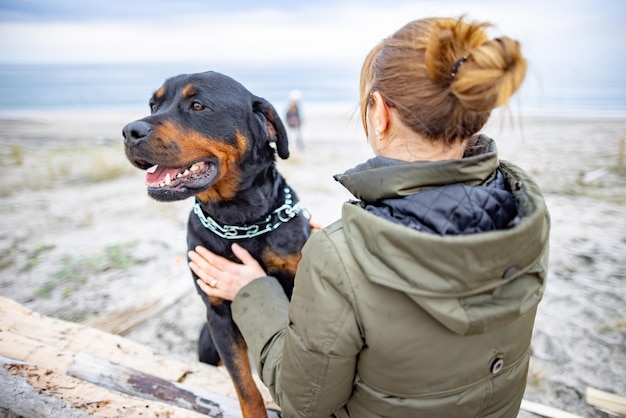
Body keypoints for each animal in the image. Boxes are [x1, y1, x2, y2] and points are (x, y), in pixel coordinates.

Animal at [122, 72, 310, 418]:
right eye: (154, 105)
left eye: (198, 105)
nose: (130, 131)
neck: (240, 222)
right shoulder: (219, 316)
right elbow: (245, 386)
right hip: (206, 340)